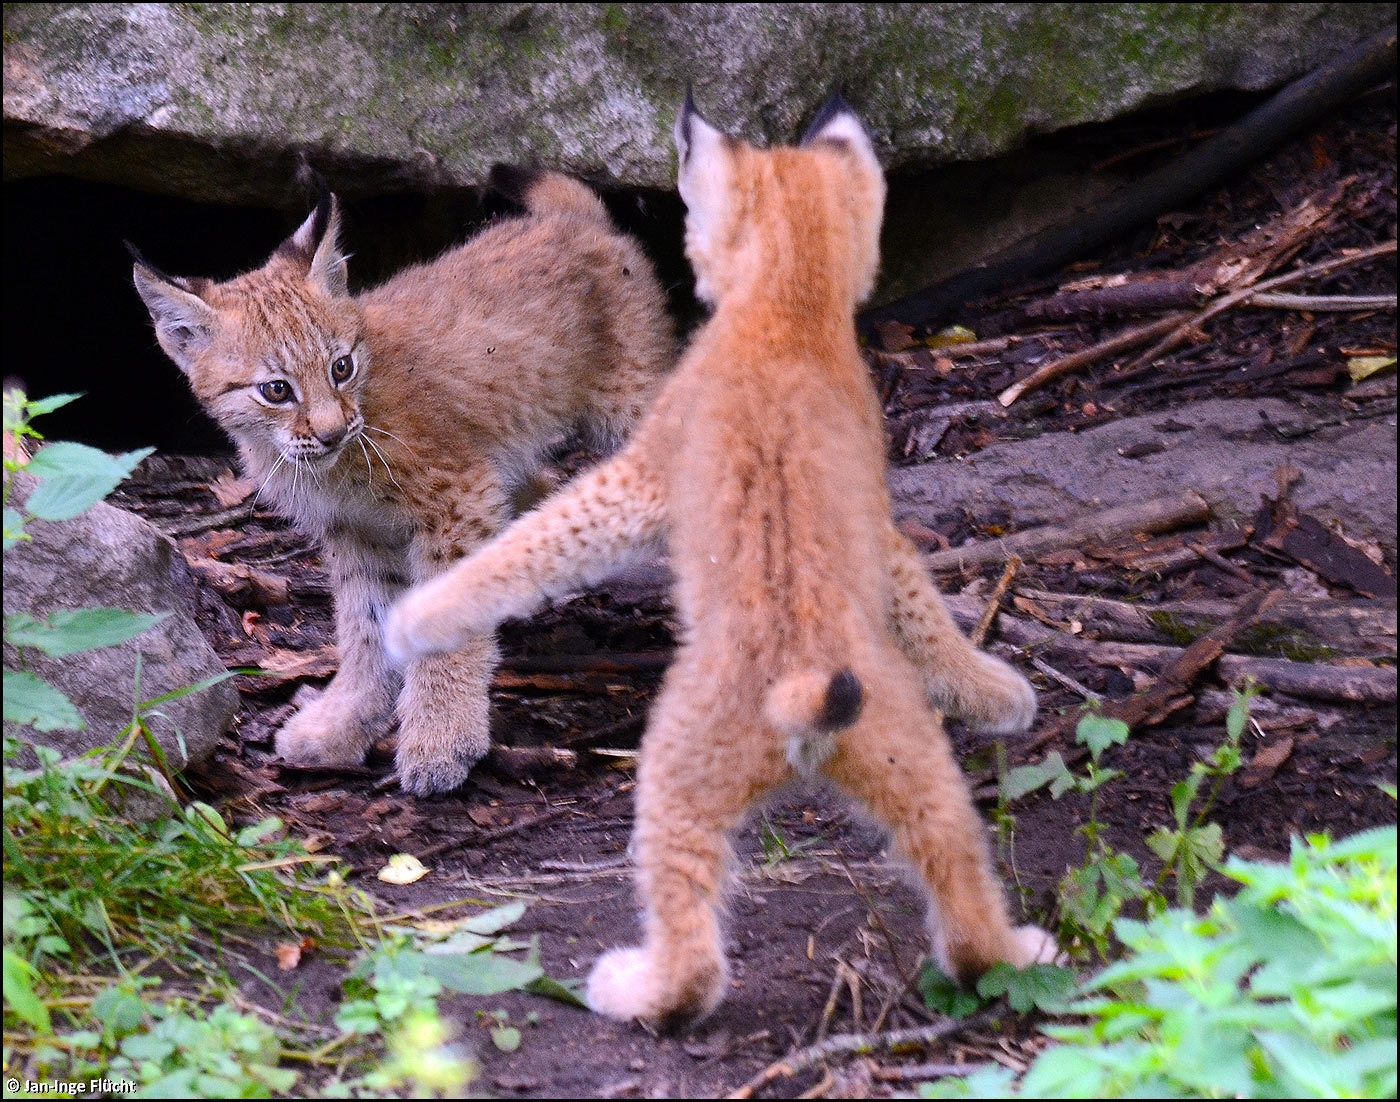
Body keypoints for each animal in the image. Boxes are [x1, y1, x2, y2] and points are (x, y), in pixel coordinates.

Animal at [131, 165, 672, 795]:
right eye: (276, 390)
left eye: (341, 367)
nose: (332, 431)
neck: (328, 461)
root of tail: (573, 220)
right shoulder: (357, 531)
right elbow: (365, 629)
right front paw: (344, 722)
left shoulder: (457, 499)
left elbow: (442, 615)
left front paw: (441, 742)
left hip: (629, 409)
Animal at [383, 97, 1052, 1024]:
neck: (791, 301)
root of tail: (807, 687)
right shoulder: (875, 516)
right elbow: (919, 596)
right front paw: (990, 687)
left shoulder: (640, 470)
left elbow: (538, 538)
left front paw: (417, 619)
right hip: (914, 761)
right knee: (958, 870)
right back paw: (1015, 952)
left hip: (678, 769)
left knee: (692, 934)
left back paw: (635, 987)